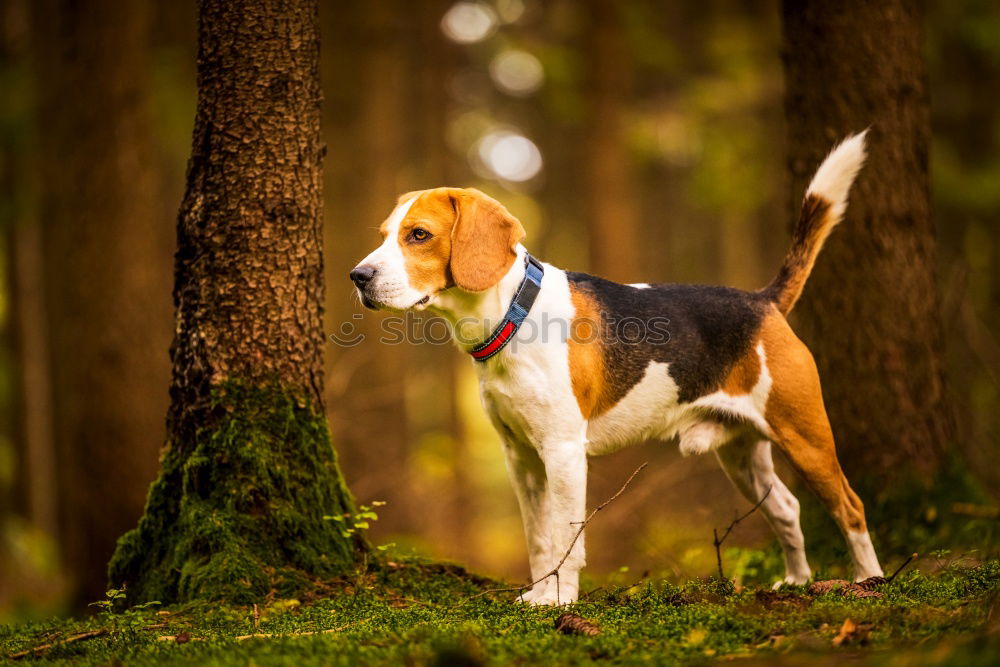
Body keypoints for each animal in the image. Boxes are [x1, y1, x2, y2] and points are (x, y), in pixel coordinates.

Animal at [352, 132, 884, 604]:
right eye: (382, 236)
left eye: (419, 235)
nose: (358, 276)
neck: (513, 316)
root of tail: (763, 301)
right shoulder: (520, 457)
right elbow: (539, 539)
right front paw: (538, 596)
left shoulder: (563, 453)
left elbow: (565, 539)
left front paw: (560, 601)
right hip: (741, 455)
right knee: (787, 509)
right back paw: (796, 581)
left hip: (805, 434)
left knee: (851, 506)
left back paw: (869, 581)